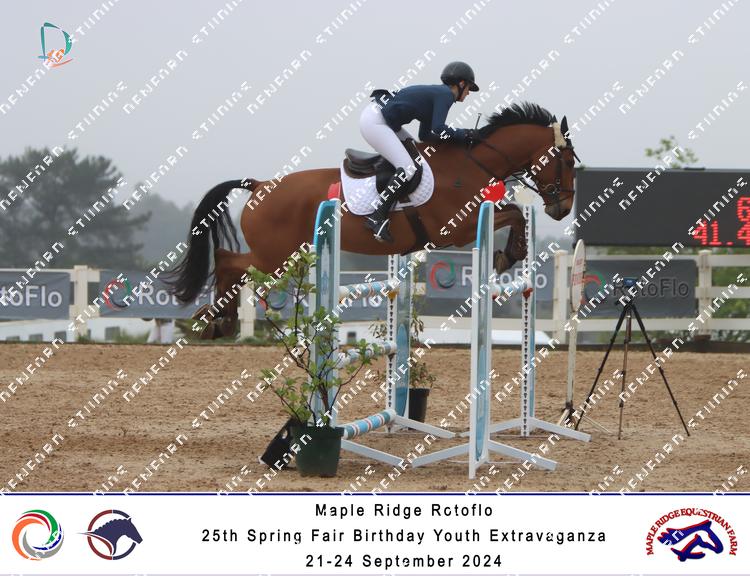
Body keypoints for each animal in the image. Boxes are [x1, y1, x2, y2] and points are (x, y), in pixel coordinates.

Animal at [167, 102, 578, 339]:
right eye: (567, 161)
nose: (563, 209)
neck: (474, 162)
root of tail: (260, 185)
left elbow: (513, 212)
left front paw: (511, 253)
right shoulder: (457, 229)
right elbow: (512, 213)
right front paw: (510, 254)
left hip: (281, 255)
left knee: (232, 265)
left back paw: (218, 320)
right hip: (275, 256)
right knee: (230, 263)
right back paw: (213, 319)